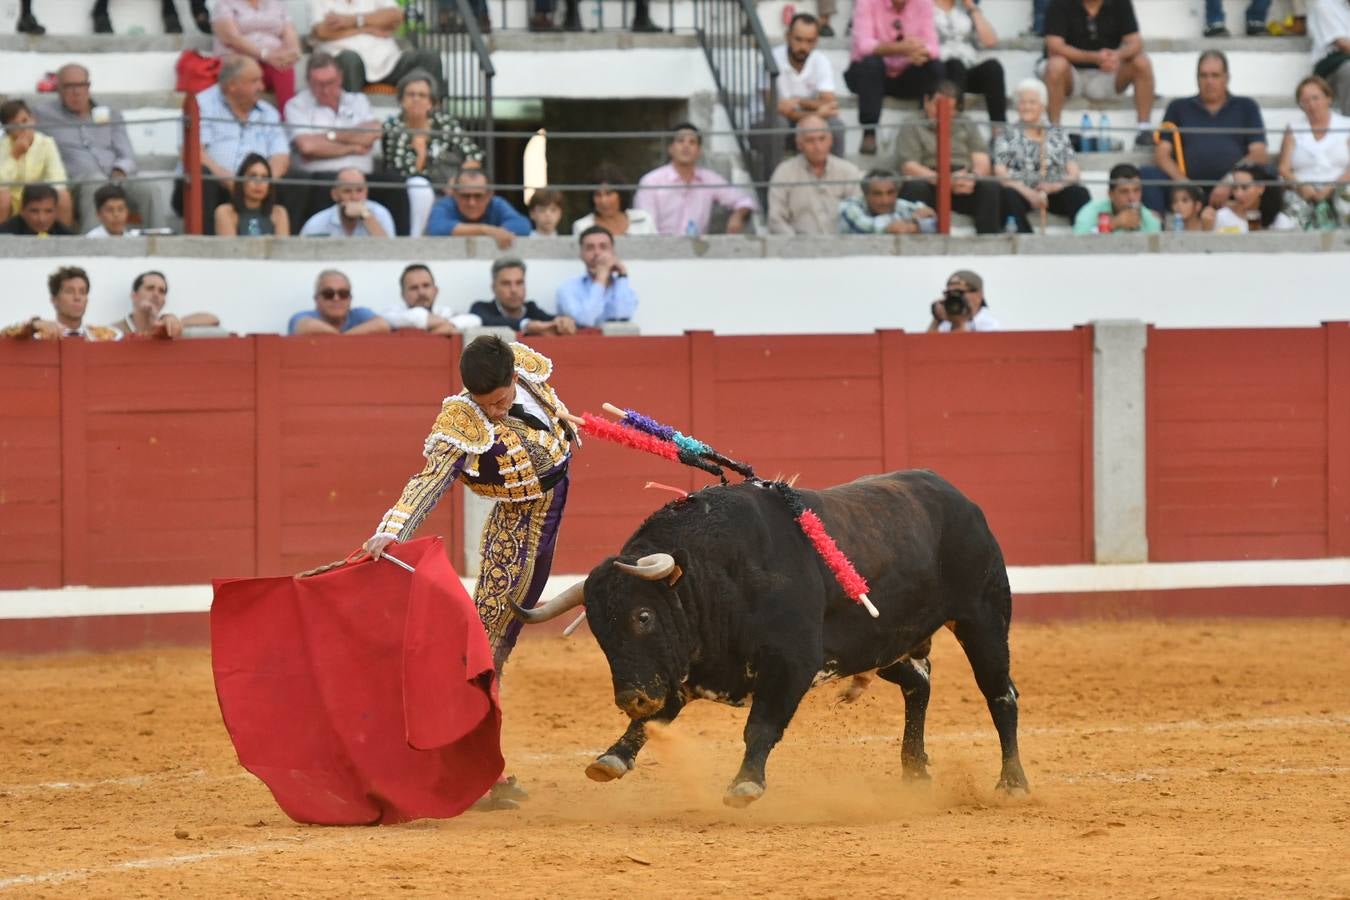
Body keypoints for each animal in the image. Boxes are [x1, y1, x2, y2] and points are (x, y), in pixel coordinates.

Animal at [510, 472, 1026, 809]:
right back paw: (915, 771)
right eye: (599, 632)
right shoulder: (680, 668)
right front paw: (611, 758)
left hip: (982, 618)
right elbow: (653, 721)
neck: (715, 574)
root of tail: (958, 498)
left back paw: (1013, 783)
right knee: (919, 684)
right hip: (883, 644)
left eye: (643, 616)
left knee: (1001, 694)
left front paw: (744, 785)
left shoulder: (791, 665)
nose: (630, 697)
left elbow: (760, 727)